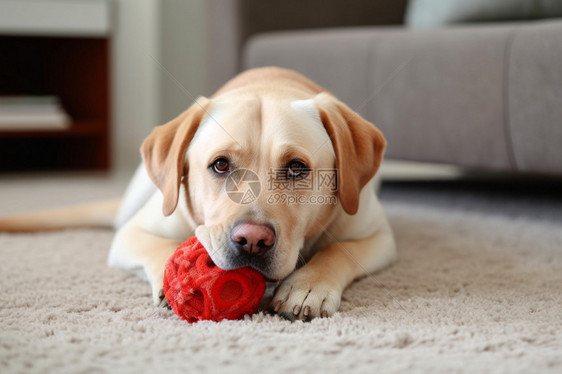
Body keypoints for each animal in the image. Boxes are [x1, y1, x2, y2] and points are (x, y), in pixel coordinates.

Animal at [1, 68, 394, 322]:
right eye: (220, 165)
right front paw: (172, 278)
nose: (252, 240)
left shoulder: (378, 235)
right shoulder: (133, 232)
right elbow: (158, 245)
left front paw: (308, 285)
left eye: (297, 168)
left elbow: (338, 251)